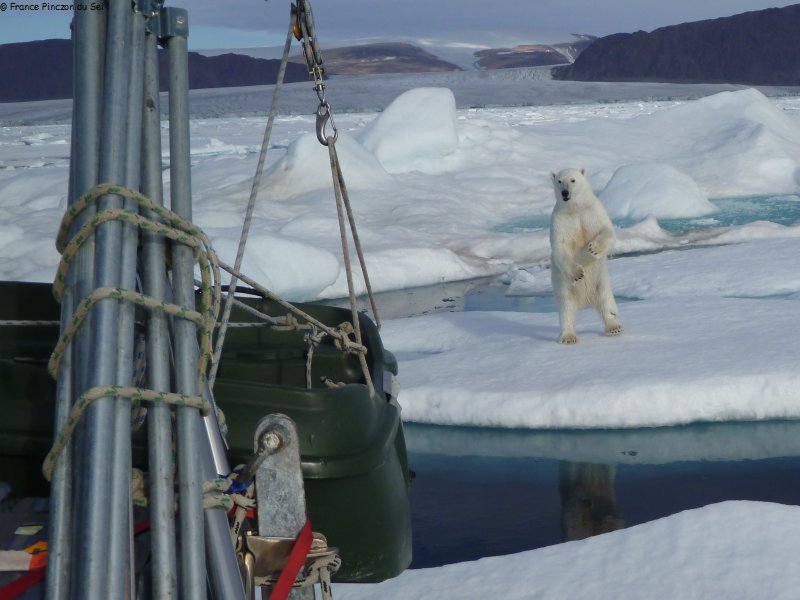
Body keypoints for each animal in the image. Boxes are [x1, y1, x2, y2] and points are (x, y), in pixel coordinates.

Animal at [552, 169, 624, 344]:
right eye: (559, 181)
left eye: (573, 180)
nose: (565, 193)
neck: (575, 208)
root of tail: (585, 298)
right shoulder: (560, 220)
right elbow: (560, 247)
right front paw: (578, 273)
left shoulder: (593, 211)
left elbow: (608, 230)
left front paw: (593, 249)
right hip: (562, 284)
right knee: (566, 307)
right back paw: (568, 336)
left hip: (601, 280)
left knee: (606, 300)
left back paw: (614, 327)